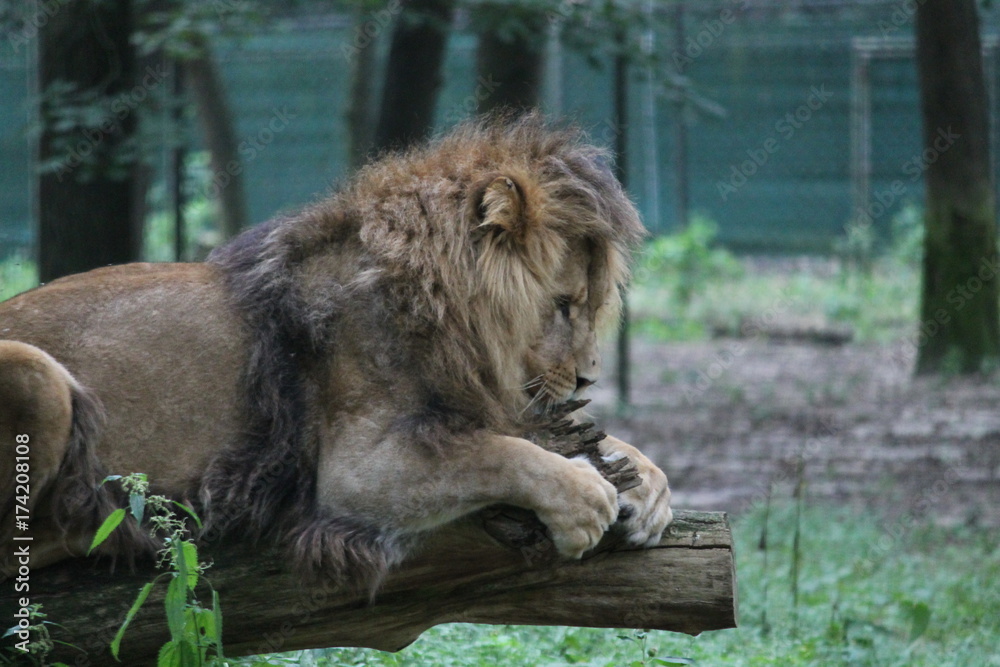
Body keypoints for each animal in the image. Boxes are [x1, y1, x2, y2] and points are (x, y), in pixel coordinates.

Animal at [0, 116, 671, 587]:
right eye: (562, 305)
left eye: (589, 305)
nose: (587, 381)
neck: (444, 314)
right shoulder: (356, 473)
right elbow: (500, 455)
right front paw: (584, 498)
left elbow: (555, 439)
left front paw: (651, 488)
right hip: (38, 374)